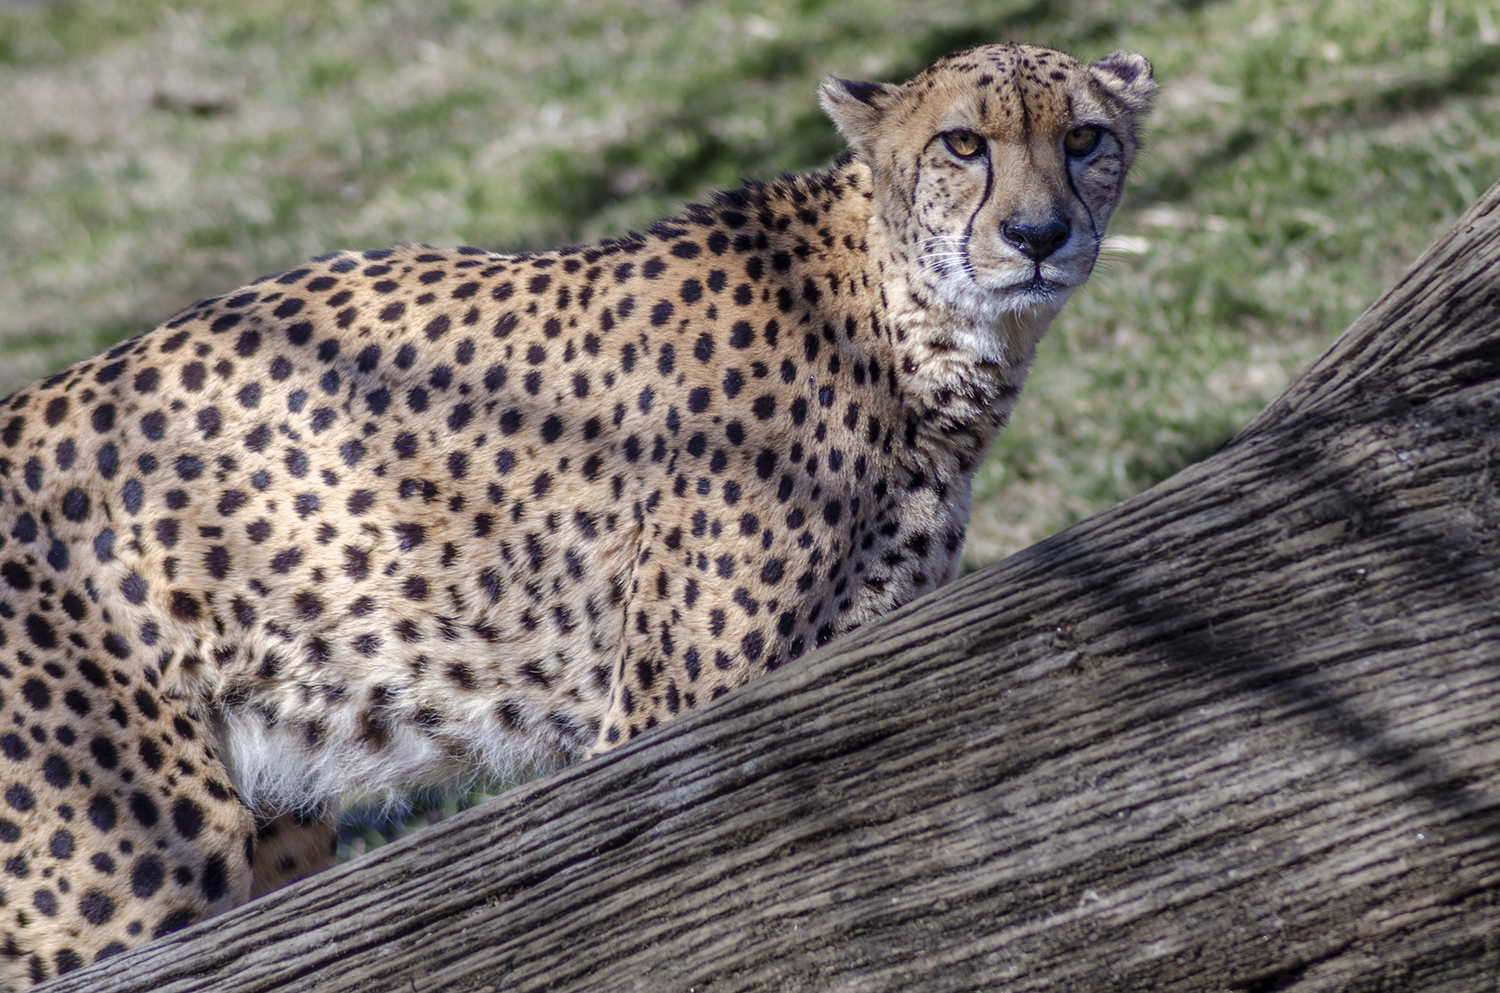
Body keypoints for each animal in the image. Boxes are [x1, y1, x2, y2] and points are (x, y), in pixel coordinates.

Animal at [0, 43, 1154, 985]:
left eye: (1083, 138)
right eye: (963, 143)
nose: (1039, 234)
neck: (906, 323)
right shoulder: (669, 712)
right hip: (130, 865)